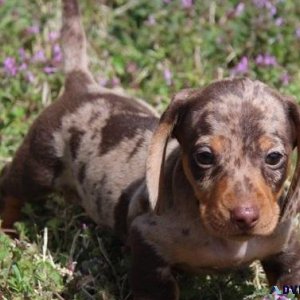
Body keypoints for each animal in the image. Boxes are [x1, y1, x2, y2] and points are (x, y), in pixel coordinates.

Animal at [0, 0, 300, 300]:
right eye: (204, 157)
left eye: (274, 157)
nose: (244, 217)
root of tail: (82, 84)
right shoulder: (147, 245)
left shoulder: (286, 246)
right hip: (37, 168)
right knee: (11, 187)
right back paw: (7, 230)